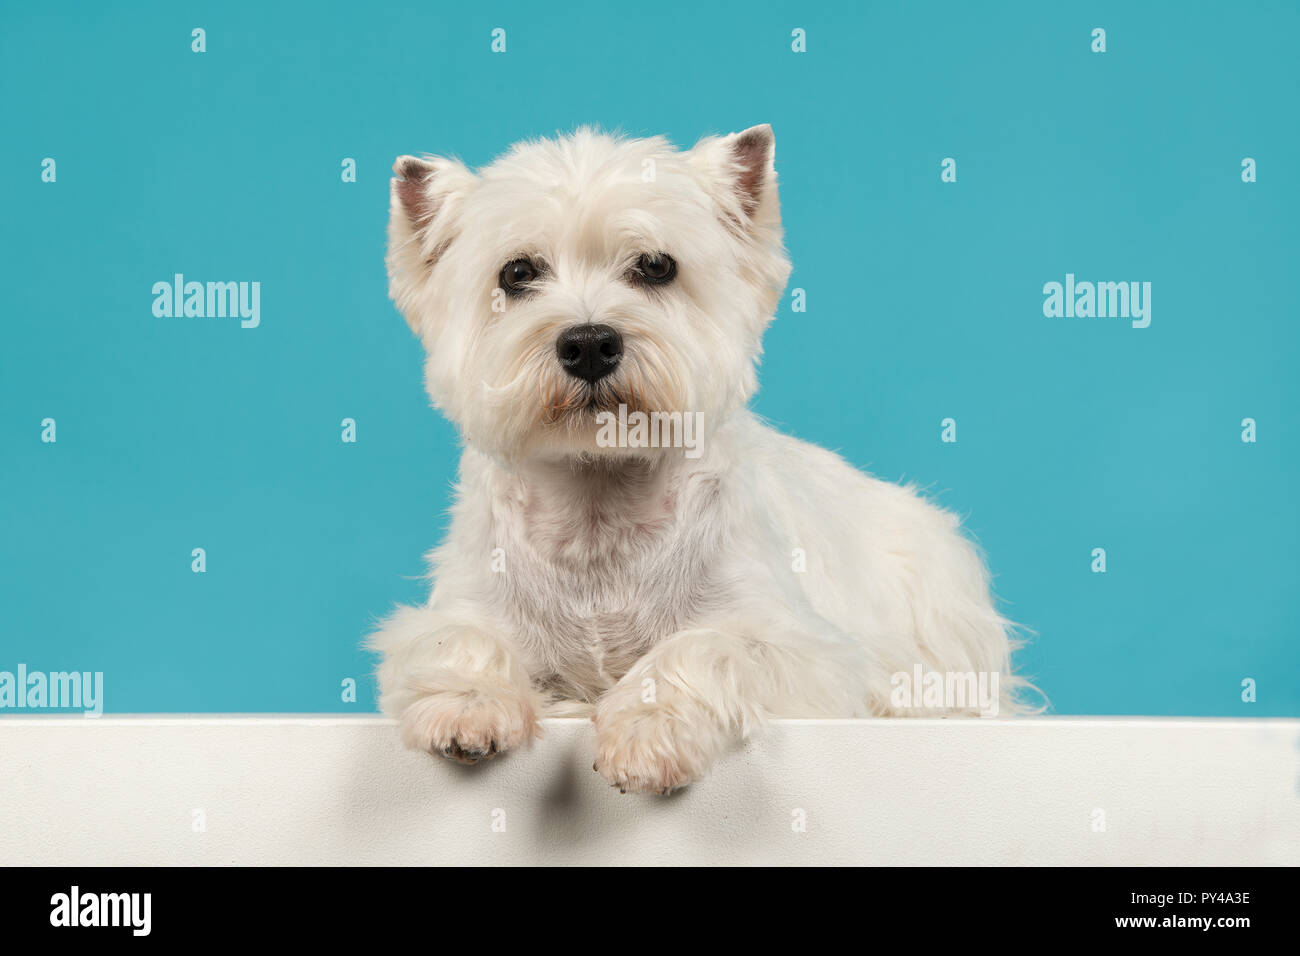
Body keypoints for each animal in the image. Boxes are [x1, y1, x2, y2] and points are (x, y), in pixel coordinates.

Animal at [369, 123, 1024, 790]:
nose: (589, 343)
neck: (598, 502)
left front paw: (645, 731)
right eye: (517, 272)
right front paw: (468, 705)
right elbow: (456, 640)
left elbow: (704, 646)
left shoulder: (807, 649)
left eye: (657, 266)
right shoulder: (464, 607)